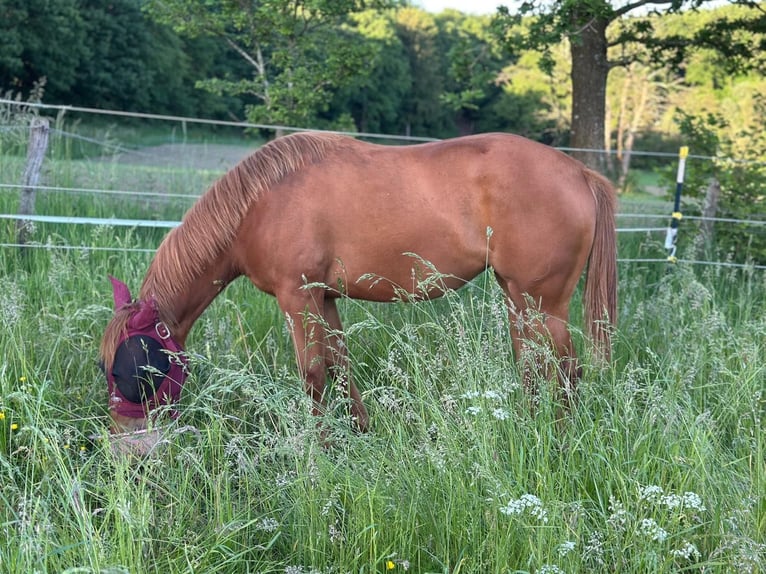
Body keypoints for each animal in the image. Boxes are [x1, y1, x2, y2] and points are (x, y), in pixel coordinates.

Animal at [99, 131, 617, 438]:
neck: (261, 203)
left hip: (543, 302)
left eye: (133, 371)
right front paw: (359, 434)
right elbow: (340, 366)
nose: (125, 446)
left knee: (566, 372)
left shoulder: (298, 298)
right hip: (517, 297)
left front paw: (321, 449)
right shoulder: (324, 298)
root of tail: (580, 172)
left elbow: (312, 376)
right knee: (533, 367)